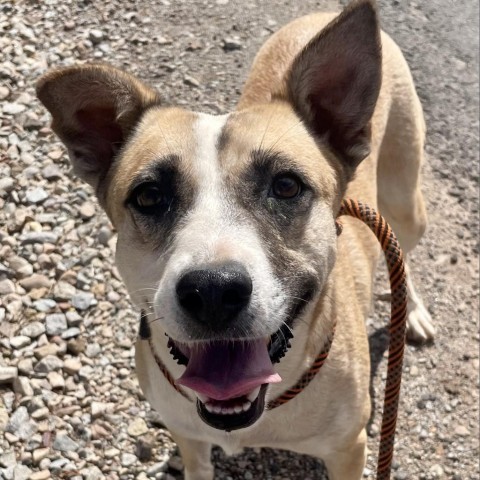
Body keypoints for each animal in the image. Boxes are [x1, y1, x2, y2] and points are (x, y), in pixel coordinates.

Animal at [37, 1, 436, 478]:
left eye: (286, 186)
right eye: (149, 196)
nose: (213, 292)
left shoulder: (348, 450)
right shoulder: (189, 437)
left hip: (406, 199)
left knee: (403, 250)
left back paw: (413, 313)